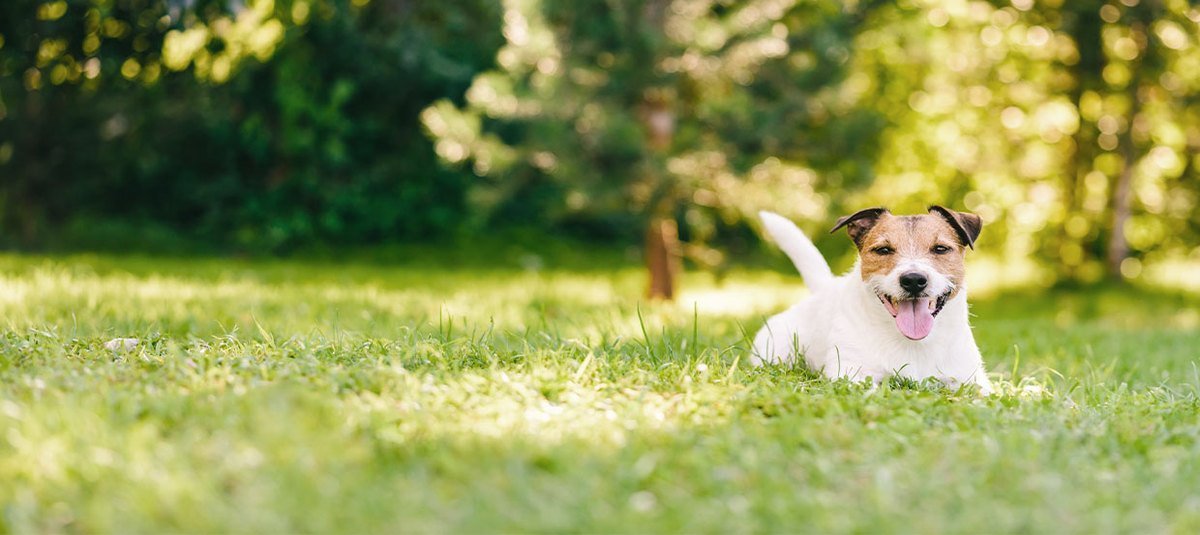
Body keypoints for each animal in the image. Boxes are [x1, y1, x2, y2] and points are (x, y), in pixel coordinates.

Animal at [748, 206, 993, 393]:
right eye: (883, 250)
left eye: (941, 248)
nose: (913, 280)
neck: (912, 342)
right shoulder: (849, 374)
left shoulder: (969, 378)